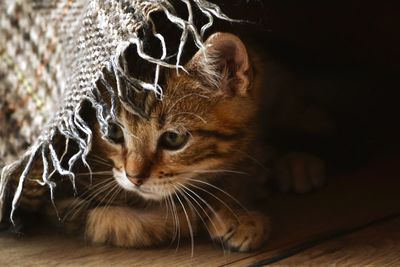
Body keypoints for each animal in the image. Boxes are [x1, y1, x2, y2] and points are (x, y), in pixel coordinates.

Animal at [45, 32, 324, 252]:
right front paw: (195, 212)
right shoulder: (63, 194)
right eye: (112, 131)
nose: (134, 177)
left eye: (173, 138)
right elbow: (113, 222)